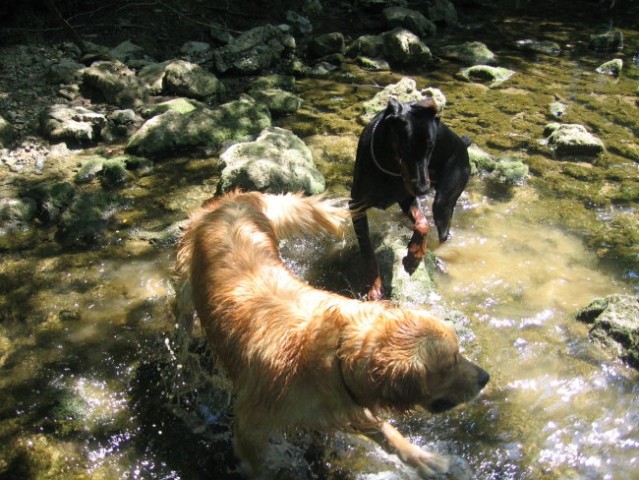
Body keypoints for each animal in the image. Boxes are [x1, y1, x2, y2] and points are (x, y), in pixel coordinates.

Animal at [348, 96, 472, 300]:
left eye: (431, 146)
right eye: (406, 146)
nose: (423, 189)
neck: (388, 167)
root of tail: (463, 144)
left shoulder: (407, 196)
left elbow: (423, 223)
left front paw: (414, 257)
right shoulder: (356, 205)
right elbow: (367, 250)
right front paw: (374, 287)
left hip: (444, 201)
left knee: (443, 232)